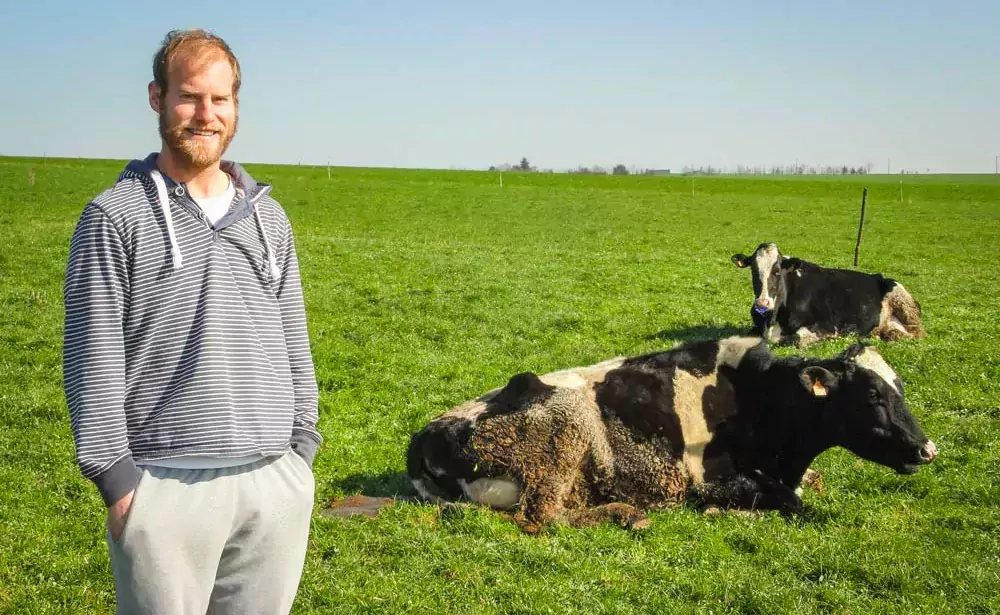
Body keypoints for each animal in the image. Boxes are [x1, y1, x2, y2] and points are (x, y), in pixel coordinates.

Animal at [404, 336, 936, 536]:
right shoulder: (711, 480)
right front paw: (729, 511)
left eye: (900, 387)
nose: (926, 449)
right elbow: (794, 503)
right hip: (562, 434)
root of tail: (423, 435)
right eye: (872, 396)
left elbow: (810, 488)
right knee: (542, 519)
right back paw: (627, 514)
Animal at [732, 243, 924, 348]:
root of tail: (878, 277)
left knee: (918, 333)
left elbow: (793, 339)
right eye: (754, 270)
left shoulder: (827, 325)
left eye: (777, 271)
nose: (762, 304)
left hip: (903, 300)